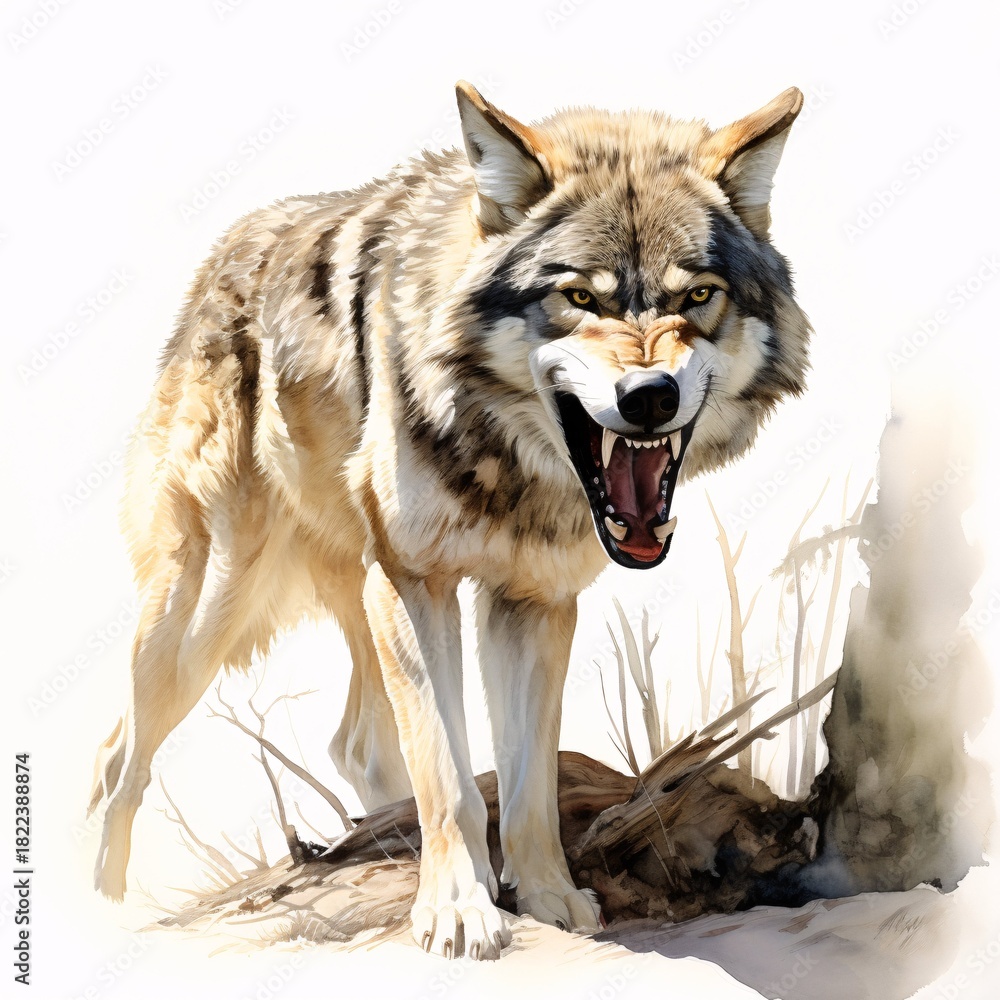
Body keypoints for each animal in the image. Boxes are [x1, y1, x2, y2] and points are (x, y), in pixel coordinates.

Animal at [89, 82, 810, 960]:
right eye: (578, 298)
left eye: (698, 296)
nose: (650, 398)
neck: (506, 465)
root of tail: (220, 259)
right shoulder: (417, 583)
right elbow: (449, 771)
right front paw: (460, 908)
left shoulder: (533, 603)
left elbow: (528, 781)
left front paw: (548, 896)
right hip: (209, 615)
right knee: (117, 759)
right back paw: (106, 908)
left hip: (341, 597)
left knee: (355, 745)